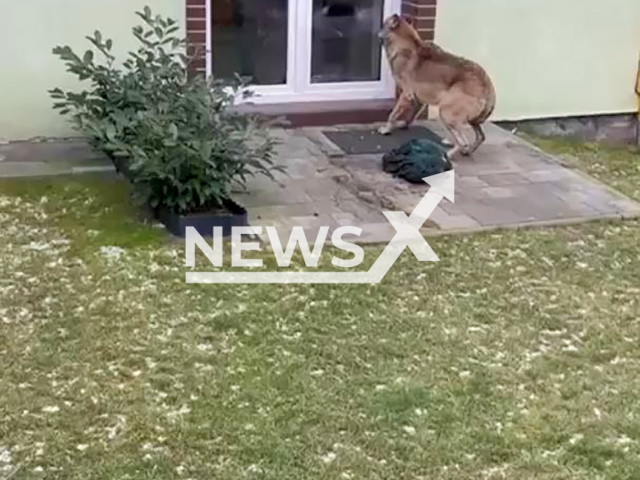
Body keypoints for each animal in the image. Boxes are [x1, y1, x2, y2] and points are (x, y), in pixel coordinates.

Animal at [378, 13, 498, 158]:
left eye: (383, 24)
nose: (377, 31)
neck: (406, 42)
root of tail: (488, 86)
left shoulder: (406, 95)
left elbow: (393, 114)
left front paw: (386, 129)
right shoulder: (417, 99)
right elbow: (411, 115)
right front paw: (403, 125)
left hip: (446, 113)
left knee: (463, 141)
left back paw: (449, 154)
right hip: (472, 121)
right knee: (480, 137)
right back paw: (467, 151)